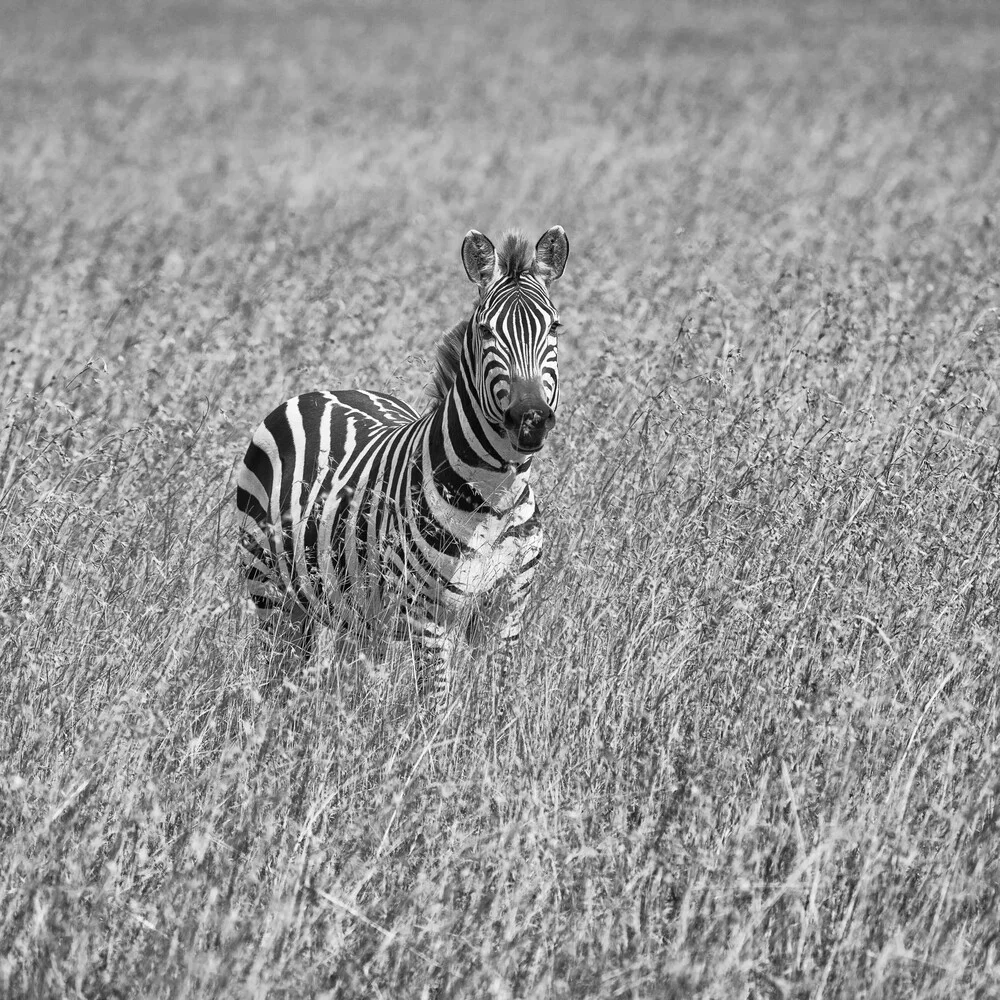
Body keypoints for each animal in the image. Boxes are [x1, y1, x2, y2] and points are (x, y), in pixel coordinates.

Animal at [230, 227, 568, 712]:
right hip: (271, 593)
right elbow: (437, 708)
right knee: (282, 675)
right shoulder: (425, 614)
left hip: (358, 609)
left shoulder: (506, 609)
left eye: (555, 327)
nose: (532, 419)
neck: (494, 498)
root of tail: (321, 392)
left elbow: (495, 703)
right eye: (485, 330)